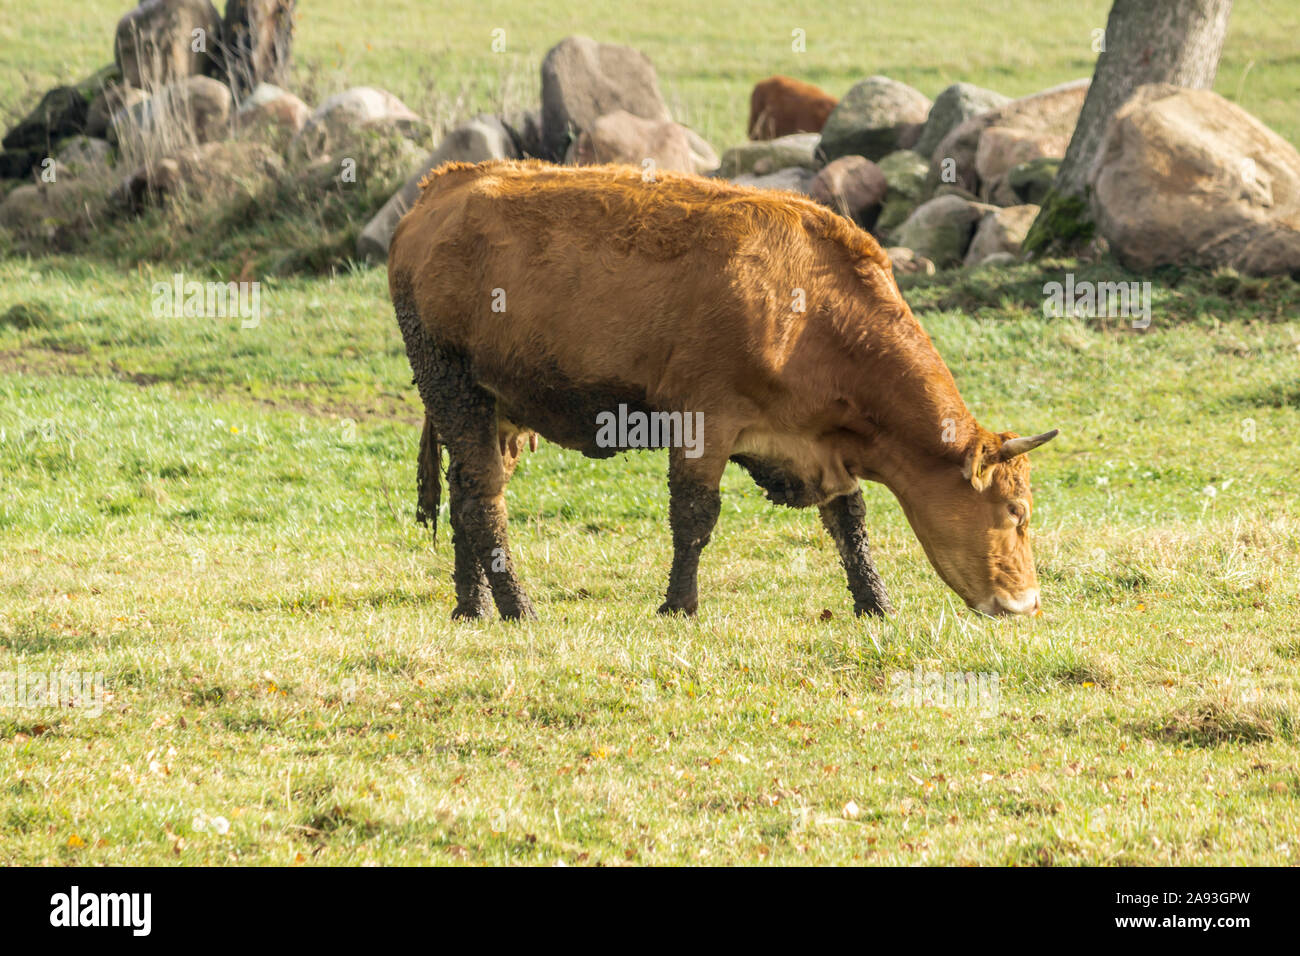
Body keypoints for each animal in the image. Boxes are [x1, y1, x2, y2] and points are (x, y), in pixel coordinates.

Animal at [388, 159, 1058, 621]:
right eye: (1016, 512)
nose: (1027, 602)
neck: (810, 309)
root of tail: (443, 186)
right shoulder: (704, 419)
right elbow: (694, 516)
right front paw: (679, 605)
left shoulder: (821, 444)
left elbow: (850, 520)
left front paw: (875, 603)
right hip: (452, 383)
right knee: (483, 498)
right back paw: (517, 607)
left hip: (494, 406)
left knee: (464, 494)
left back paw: (471, 606)